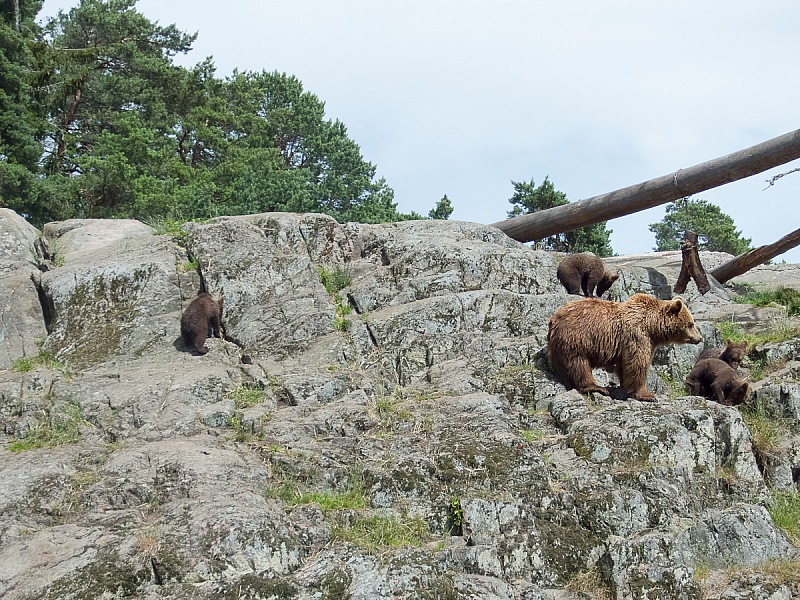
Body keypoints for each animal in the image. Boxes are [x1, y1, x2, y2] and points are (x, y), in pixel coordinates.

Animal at [548, 292, 704, 400]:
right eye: (691, 324)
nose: (700, 338)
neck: (652, 327)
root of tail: (553, 319)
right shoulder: (637, 335)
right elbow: (637, 362)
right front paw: (647, 395)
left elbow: (624, 366)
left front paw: (625, 386)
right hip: (577, 338)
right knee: (578, 363)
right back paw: (596, 387)